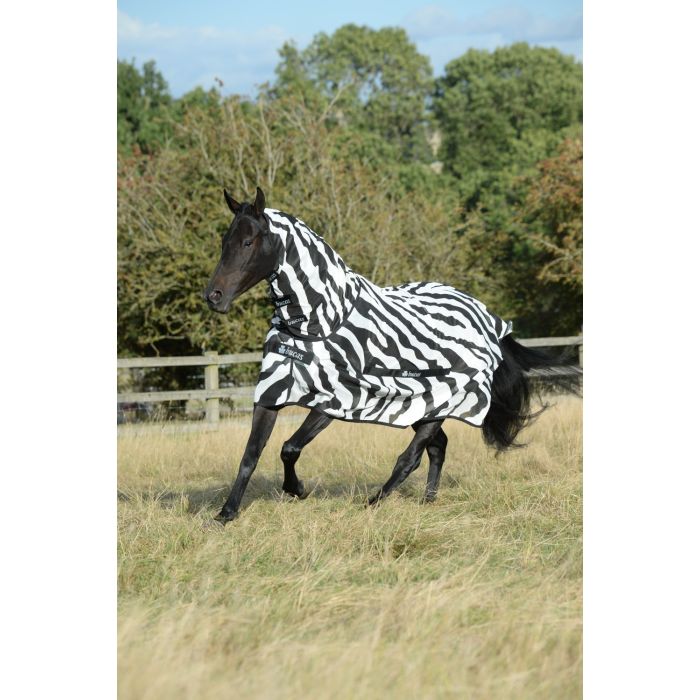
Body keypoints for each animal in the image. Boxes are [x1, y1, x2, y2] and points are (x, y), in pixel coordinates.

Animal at [204, 187, 574, 523]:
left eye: (249, 242)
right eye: (224, 241)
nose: (213, 296)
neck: (317, 322)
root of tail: (486, 317)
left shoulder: (333, 401)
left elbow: (289, 448)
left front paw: (298, 490)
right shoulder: (272, 394)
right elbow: (251, 455)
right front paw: (226, 514)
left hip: (442, 402)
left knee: (412, 456)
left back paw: (374, 502)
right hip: (423, 407)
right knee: (437, 446)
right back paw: (427, 501)